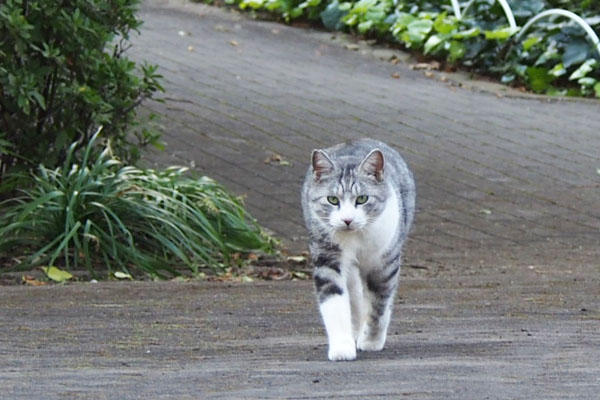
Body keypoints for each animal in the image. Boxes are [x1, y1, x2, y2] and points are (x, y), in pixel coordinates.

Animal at [300, 139, 418, 360]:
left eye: (362, 199)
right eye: (332, 200)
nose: (347, 220)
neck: (355, 239)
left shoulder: (385, 264)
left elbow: (379, 306)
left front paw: (371, 341)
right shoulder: (326, 257)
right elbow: (334, 302)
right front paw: (342, 347)